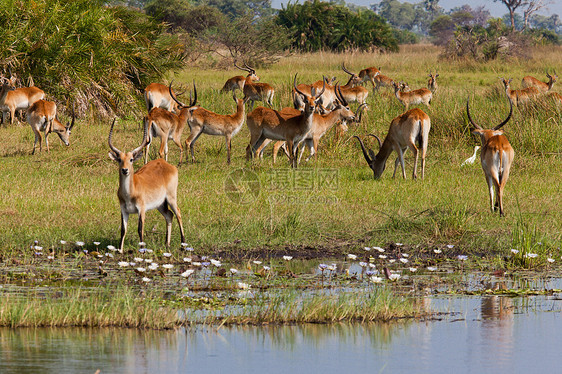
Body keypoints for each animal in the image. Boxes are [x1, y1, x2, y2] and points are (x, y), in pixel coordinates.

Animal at [108, 117, 187, 251]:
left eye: (131, 159)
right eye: (119, 159)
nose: (125, 170)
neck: (131, 192)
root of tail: (166, 164)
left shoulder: (142, 209)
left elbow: (140, 229)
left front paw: (142, 250)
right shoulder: (124, 210)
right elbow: (123, 230)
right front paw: (120, 251)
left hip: (171, 198)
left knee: (178, 213)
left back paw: (183, 245)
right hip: (160, 204)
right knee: (169, 215)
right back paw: (167, 244)